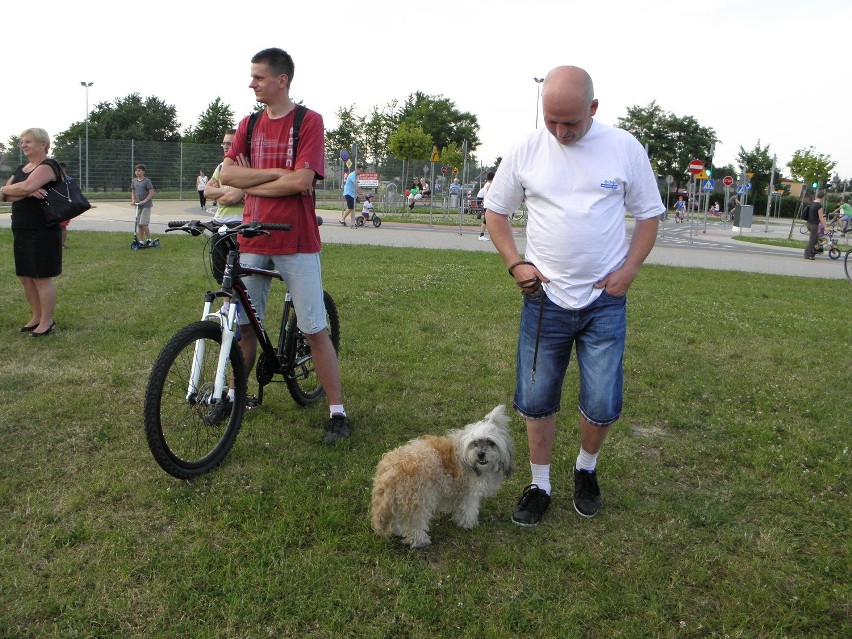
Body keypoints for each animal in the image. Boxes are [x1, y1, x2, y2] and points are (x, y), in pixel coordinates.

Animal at [372, 408, 512, 548]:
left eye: (491, 443)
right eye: (474, 443)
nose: (481, 454)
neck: (465, 455)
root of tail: (391, 468)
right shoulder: (470, 493)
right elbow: (468, 510)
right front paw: (469, 525)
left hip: (397, 499)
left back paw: (396, 531)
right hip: (420, 500)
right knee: (415, 524)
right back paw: (420, 541)